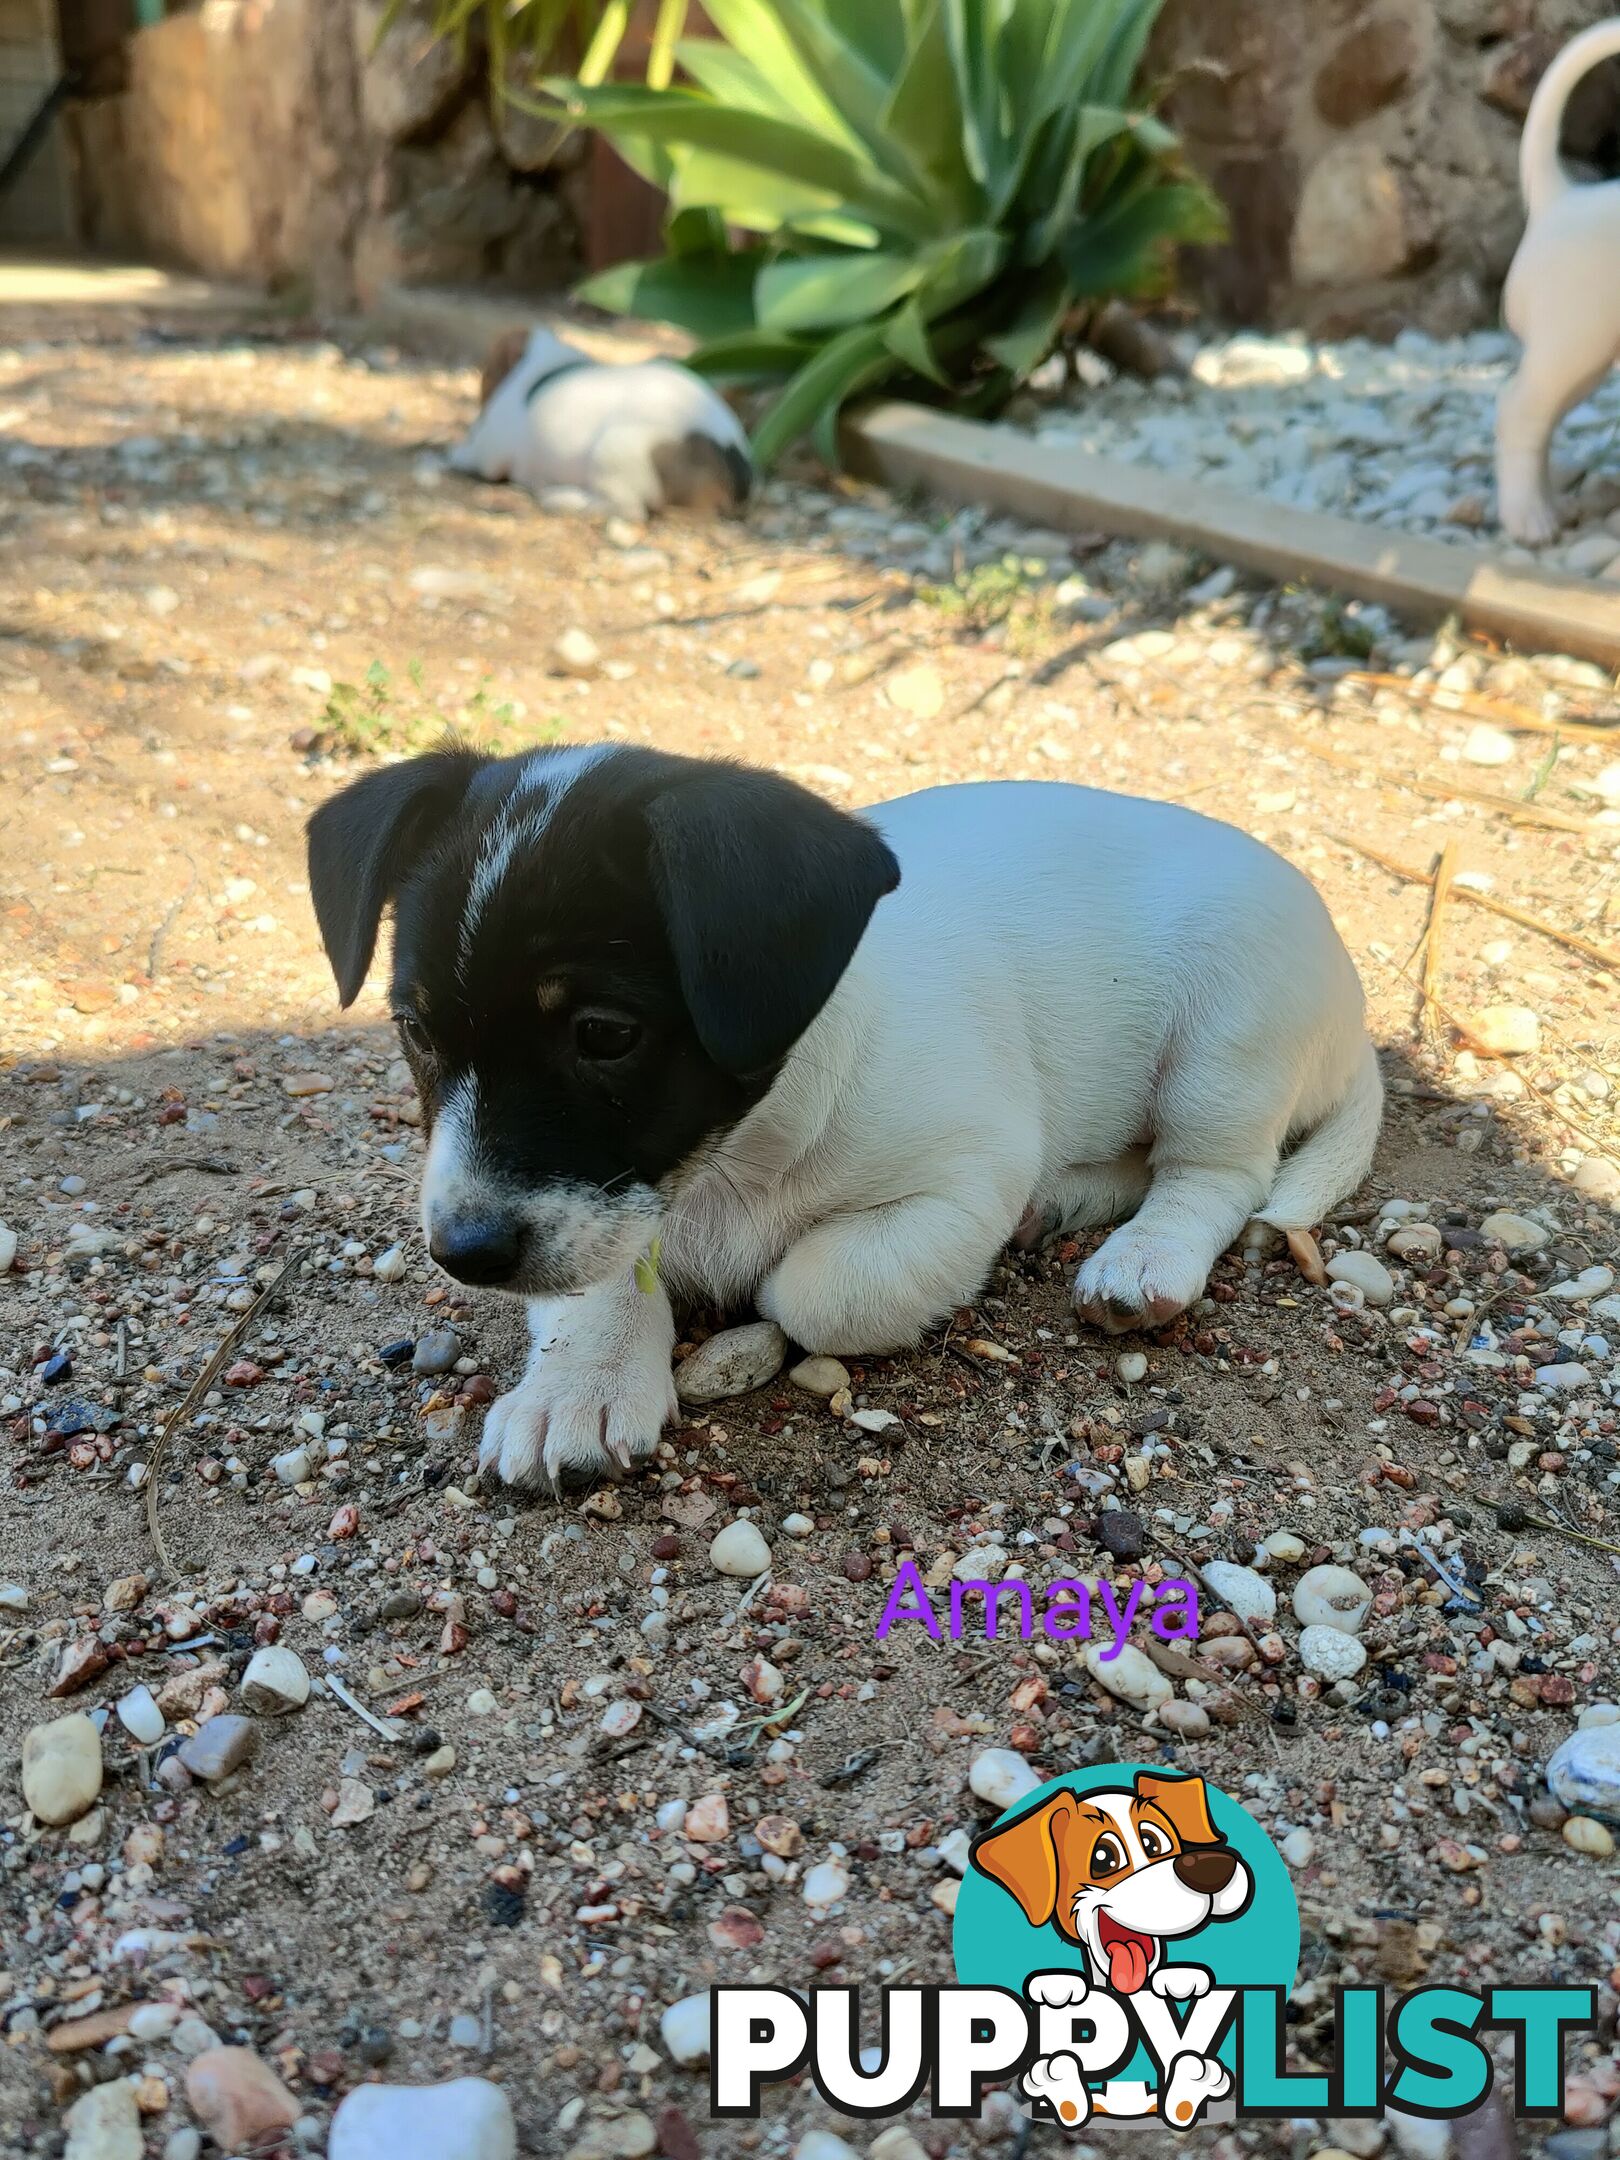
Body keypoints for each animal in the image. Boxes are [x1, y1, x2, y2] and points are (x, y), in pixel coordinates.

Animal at [304, 743, 1382, 1486]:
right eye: (413, 1029)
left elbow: (813, 1288)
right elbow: (602, 1277)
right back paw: (1072, 1198)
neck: (736, 1157)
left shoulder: (964, 1180)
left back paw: (1145, 1257)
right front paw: (581, 1384)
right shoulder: (610, 1211)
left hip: (1229, 1035)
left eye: (606, 1034)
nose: (464, 1254)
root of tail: (1355, 1014)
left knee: (1215, 1174)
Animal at [447, 321, 760, 520]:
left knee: (628, 510)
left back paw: (561, 498)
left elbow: (465, 454)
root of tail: (733, 461)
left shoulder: (488, 450)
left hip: (614, 450)